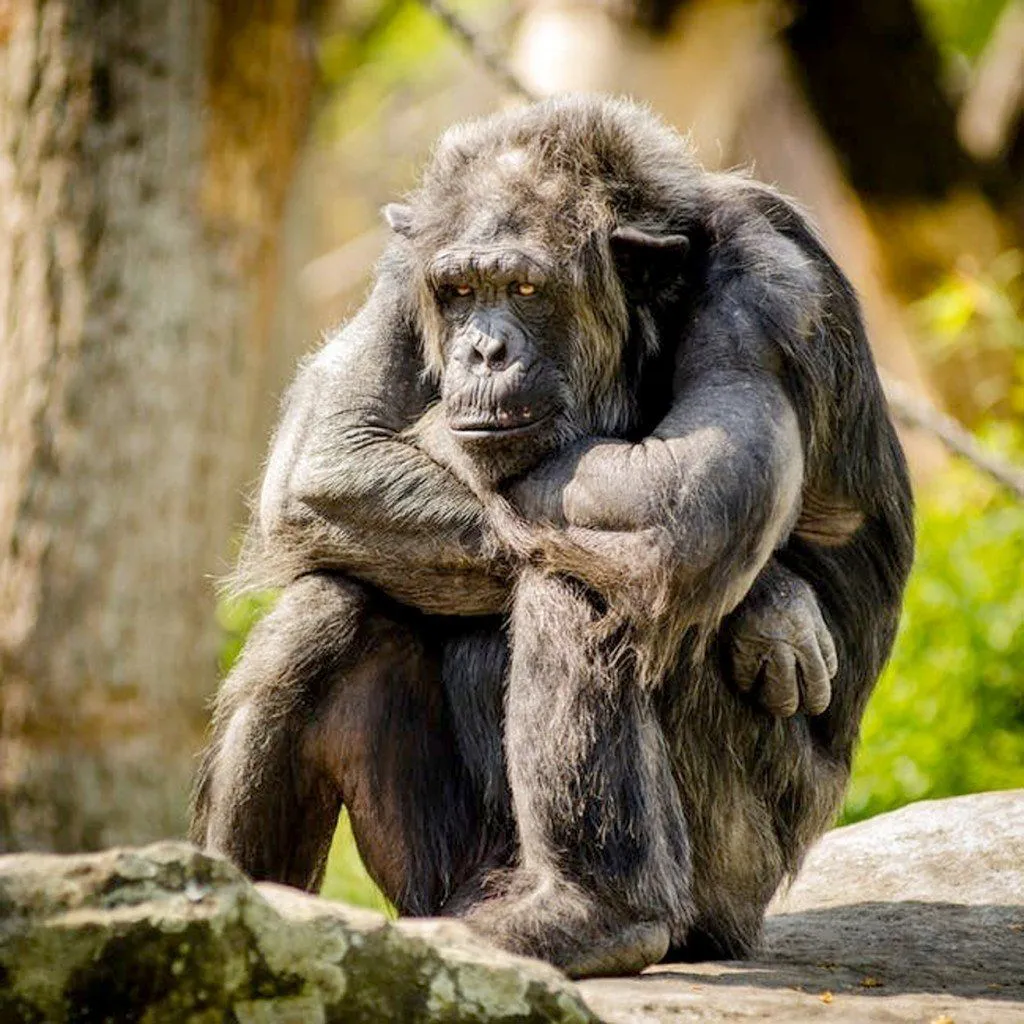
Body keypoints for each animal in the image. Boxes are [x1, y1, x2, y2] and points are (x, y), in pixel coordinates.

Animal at [191, 95, 912, 978]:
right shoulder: (404, 266)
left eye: (528, 287)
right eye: (459, 290)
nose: (483, 347)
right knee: (323, 611)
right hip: (440, 877)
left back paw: (595, 913)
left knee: (591, 580)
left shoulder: (771, 292)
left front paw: (770, 604)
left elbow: (688, 495)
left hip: (735, 871)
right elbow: (327, 451)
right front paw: (774, 605)